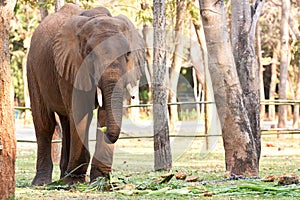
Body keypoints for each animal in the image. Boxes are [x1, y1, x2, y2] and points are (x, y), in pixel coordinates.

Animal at [27, 3, 145, 186]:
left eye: (128, 54)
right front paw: (74, 182)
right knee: (45, 123)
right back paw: (43, 182)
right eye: (90, 54)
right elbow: (81, 112)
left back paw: (63, 177)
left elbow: (103, 112)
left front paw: (100, 183)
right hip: (32, 68)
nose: (106, 132)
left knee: (66, 122)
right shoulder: (71, 65)